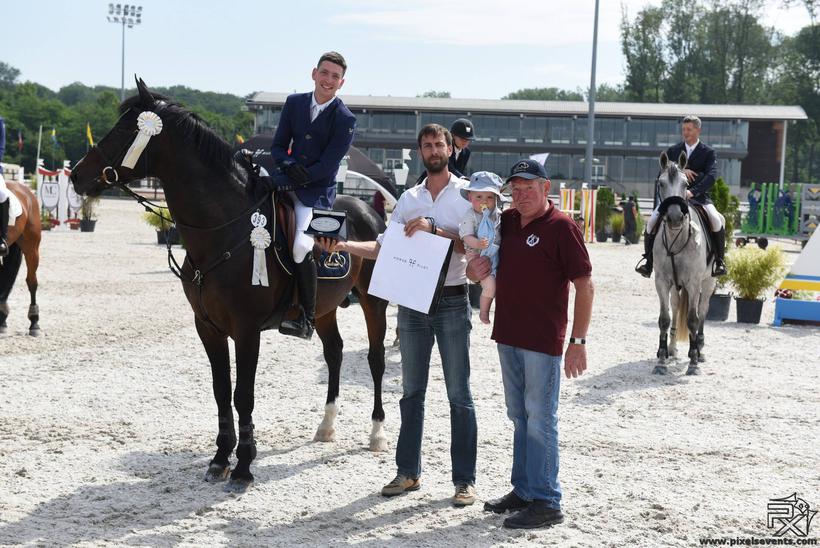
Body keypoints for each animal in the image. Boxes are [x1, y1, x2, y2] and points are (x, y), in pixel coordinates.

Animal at [70, 78, 388, 492]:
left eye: (125, 130)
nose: (77, 175)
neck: (223, 230)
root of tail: (371, 211)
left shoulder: (247, 329)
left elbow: (243, 395)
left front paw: (243, 467)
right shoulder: (208, 327)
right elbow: (221, 392)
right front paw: (221, 459)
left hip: (373, 303)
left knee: (375, 359)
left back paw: (377, 434)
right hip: (324, 308)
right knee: (334, 352)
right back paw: (326, 426)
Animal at [652, 150, 716, 374]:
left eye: (686, 184)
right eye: (661, 183)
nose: (675, 218)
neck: (676, 238)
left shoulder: (694, 282)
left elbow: (693, 319)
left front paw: (693, 362)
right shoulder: (662, 281)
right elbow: (664, 319)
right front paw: (661, 360)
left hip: (709, 282)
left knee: (703, 310)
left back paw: (700, 350)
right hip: (675, 286)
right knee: (676, 305)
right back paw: (673, 350)